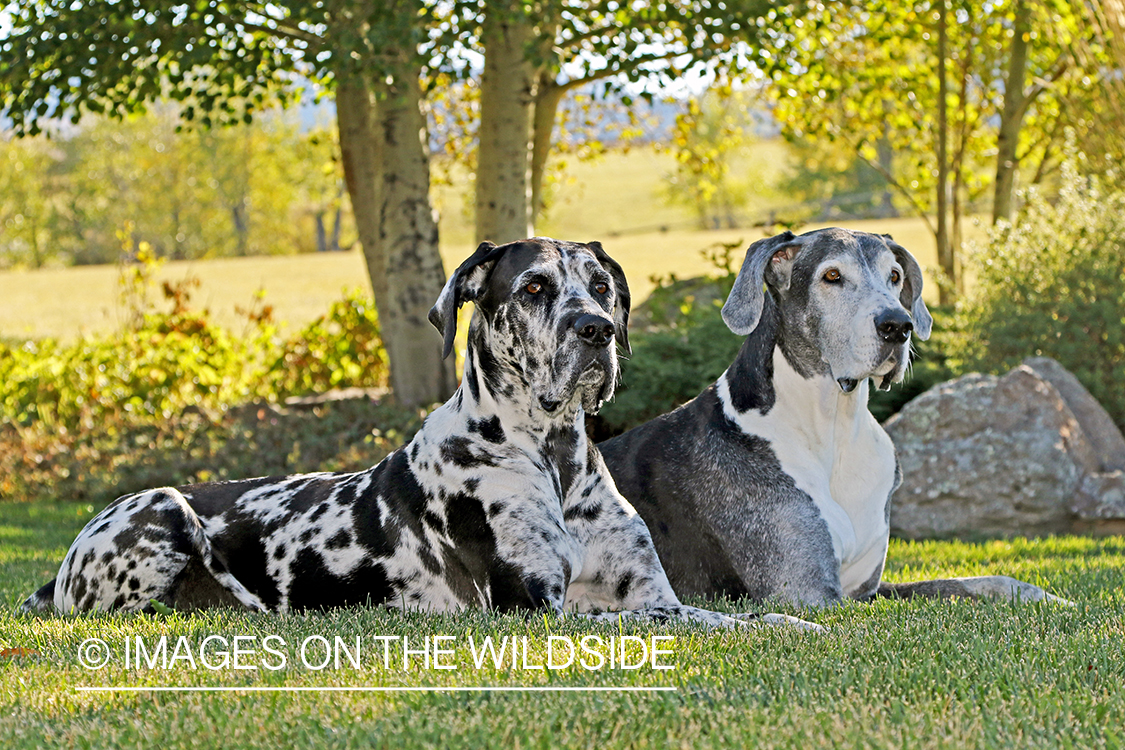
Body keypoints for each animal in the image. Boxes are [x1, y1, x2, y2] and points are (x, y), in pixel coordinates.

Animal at [21, 237, 819, 629]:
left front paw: (796, 626)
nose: (595, 331)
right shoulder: (541, 613)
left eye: (600, 286)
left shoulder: (654, 596)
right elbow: (661, 626)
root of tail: (57, 572)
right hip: (159, 507)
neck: (552, 458)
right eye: (534, 288)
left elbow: (738, 619)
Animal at [603, 229, 1066, 611]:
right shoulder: (809, 593)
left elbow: (969, 583)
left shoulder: (867, 589)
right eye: (831, 276)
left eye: (895, 275)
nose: (898, 326)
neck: (835, 428)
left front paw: (1041, 595)